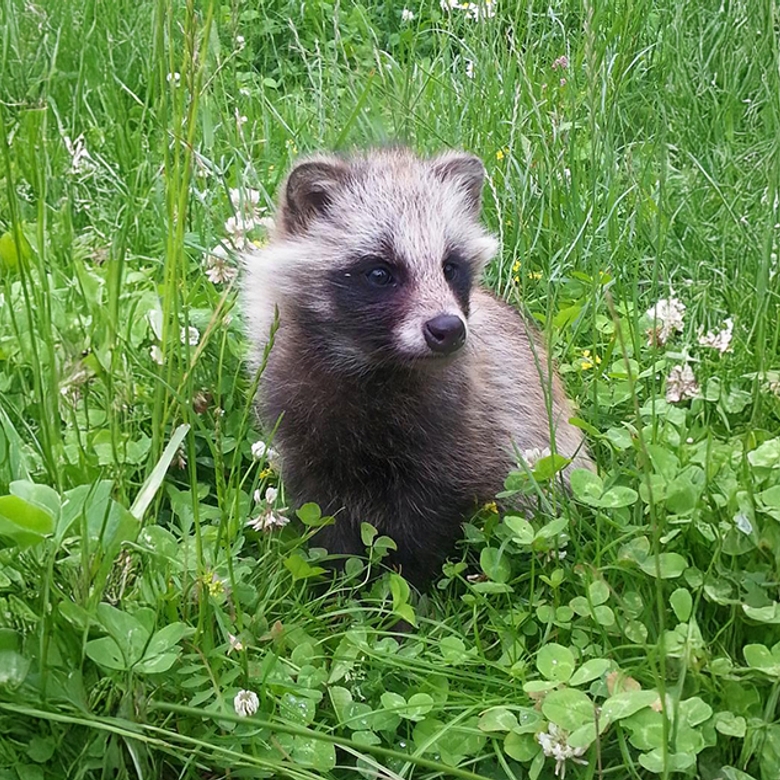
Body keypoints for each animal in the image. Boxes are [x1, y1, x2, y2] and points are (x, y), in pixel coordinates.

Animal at [244, 148, 592, 584]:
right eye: (380, 272)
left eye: (451, 266)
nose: (448, 329)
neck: (375, 366)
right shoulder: (299, 422)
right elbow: (325, 519)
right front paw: (340, 586)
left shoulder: (459, 430)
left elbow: (428, 525)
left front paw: (410, 589)